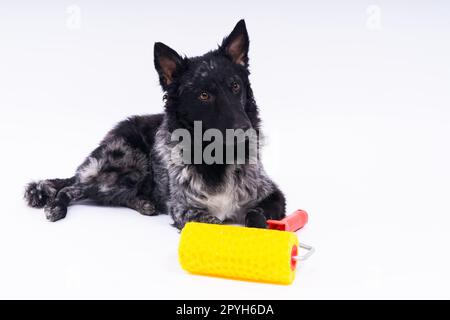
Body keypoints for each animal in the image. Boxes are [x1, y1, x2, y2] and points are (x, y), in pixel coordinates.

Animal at [23, 20, 284, 229]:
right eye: (204, 95)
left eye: (235, 86)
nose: (245, 130)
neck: (217, 160)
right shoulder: (186, 209)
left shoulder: (273, 195)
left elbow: (256, 216)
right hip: (129, 164)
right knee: (72, 188)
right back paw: (57, 206)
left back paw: (144, 203)